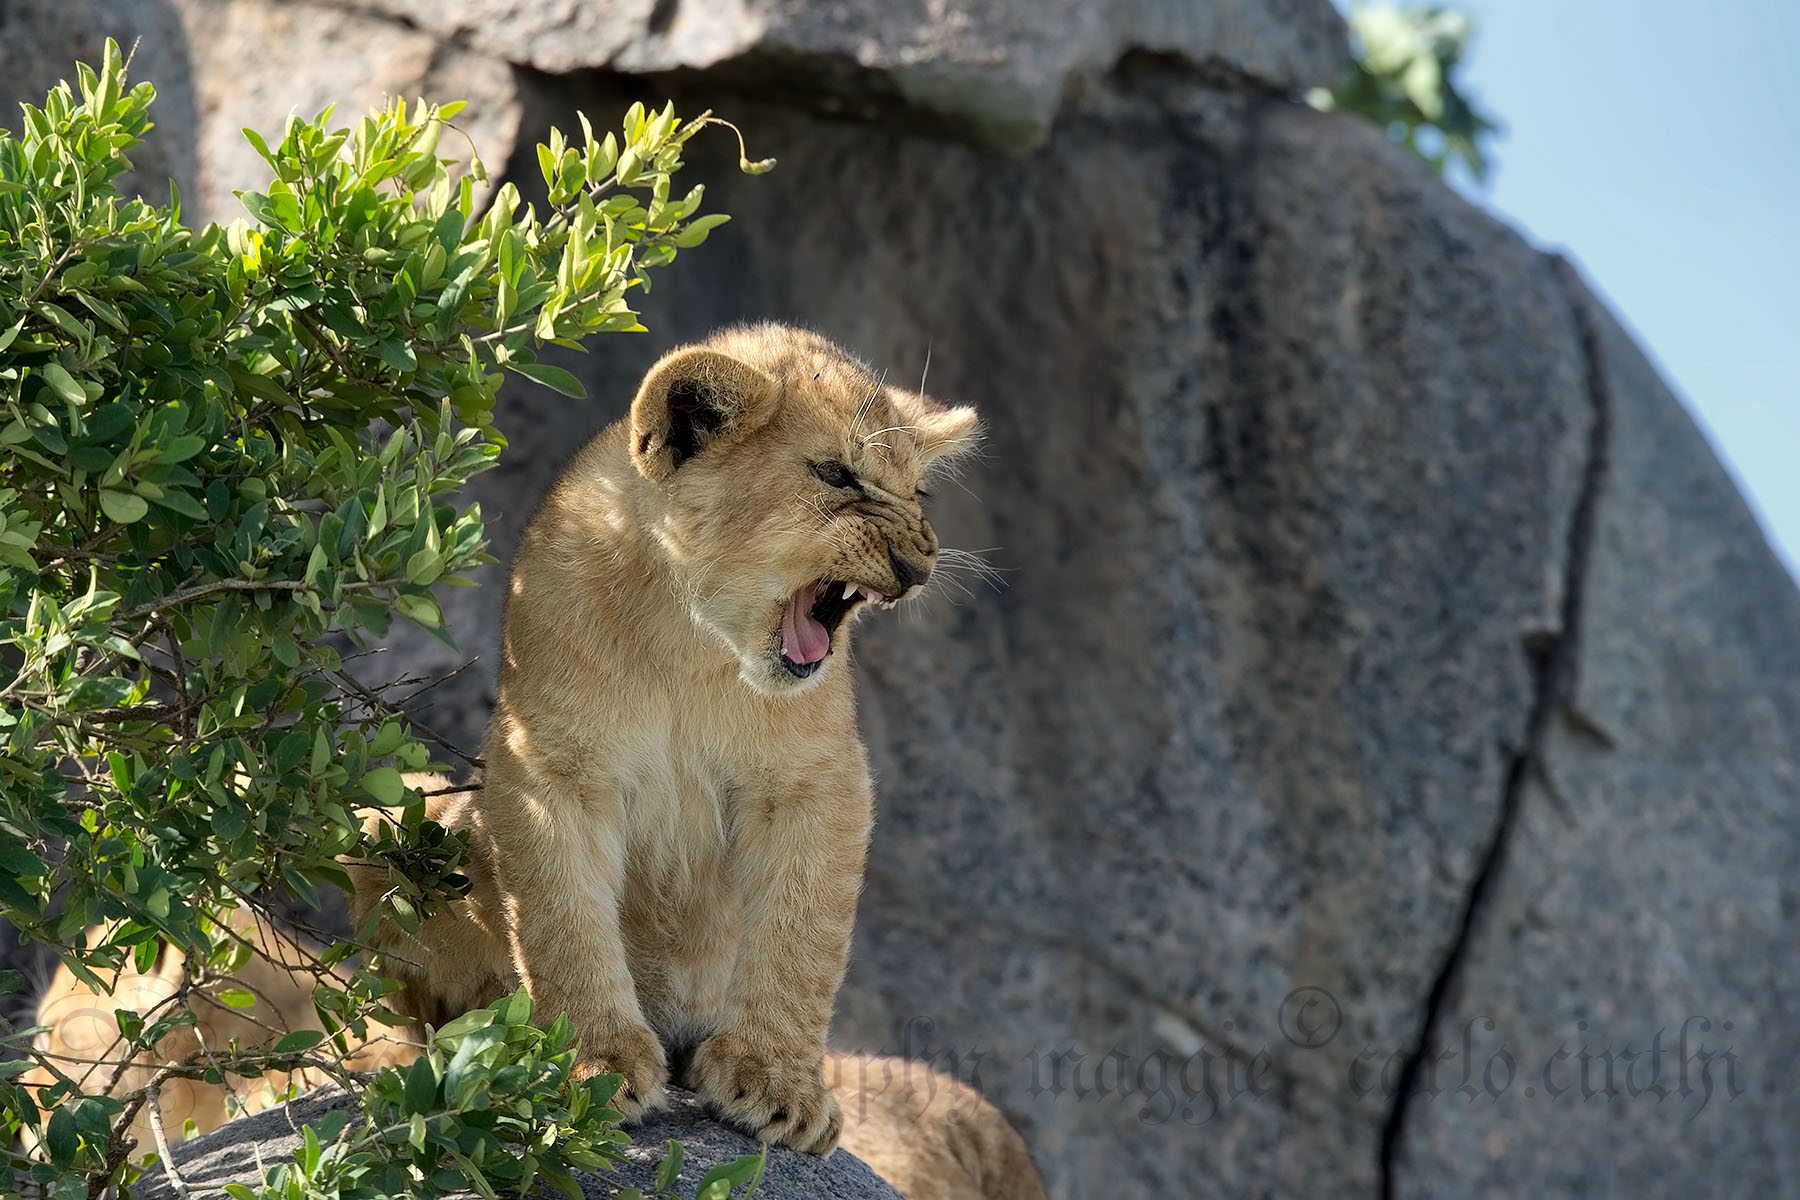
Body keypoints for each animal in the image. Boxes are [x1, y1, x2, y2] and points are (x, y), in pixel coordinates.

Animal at [350, 324, 982, 1156]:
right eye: (836, 474)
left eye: (919, 493)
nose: (917, 565)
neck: (691, 636)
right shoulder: (547, 766)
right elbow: (562, 921)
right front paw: (589, 1067)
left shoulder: (818, 780)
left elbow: (804, 935)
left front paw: (777, 1083)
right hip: (390, 821)